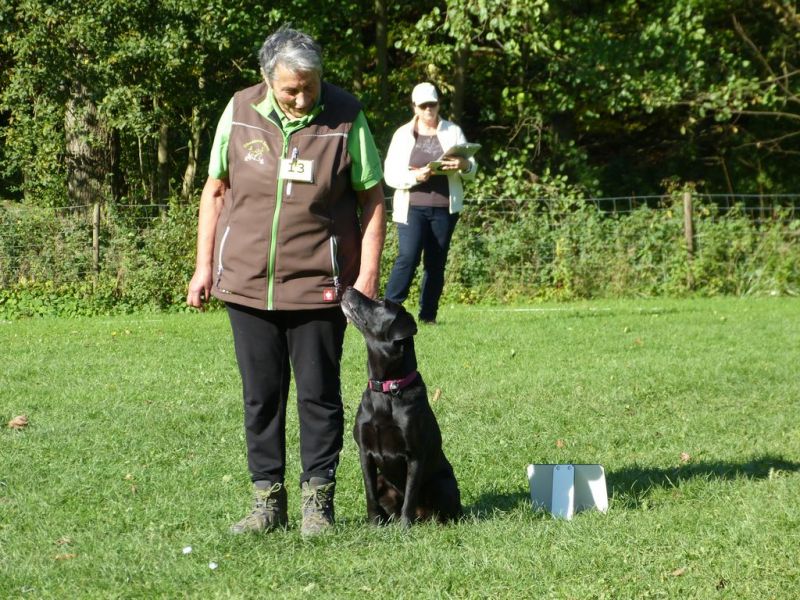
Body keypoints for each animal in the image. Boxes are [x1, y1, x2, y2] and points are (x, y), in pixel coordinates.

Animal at [341, 287, 462, 526]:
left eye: (380, 302)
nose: (349, 288)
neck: (387, 388)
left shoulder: (414, 455)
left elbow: (410, 496)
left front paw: (405, 528)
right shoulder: (365, 452)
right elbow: (370, 494)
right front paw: (374, 524)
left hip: (443, 481)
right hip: (382, 479)